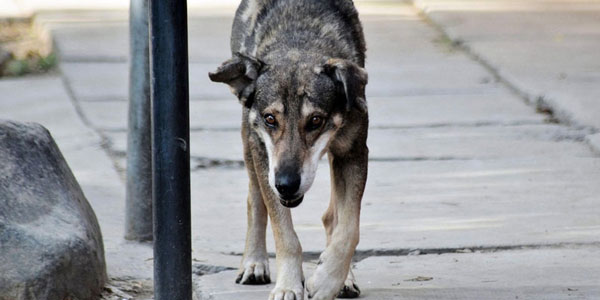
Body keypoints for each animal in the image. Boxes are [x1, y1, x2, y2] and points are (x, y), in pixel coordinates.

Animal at [209, 1, 368, 298]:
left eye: (315, 120)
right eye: (271, 119)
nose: (285, 184)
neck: (298, 43)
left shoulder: (353, 153)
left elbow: (348, 229)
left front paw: (328, 280)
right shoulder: (264, 157)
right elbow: (285, 234)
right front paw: (288, 286)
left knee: (332, 217)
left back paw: (345, 279)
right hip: (249, 145)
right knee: (254, 200)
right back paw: (254, 263)